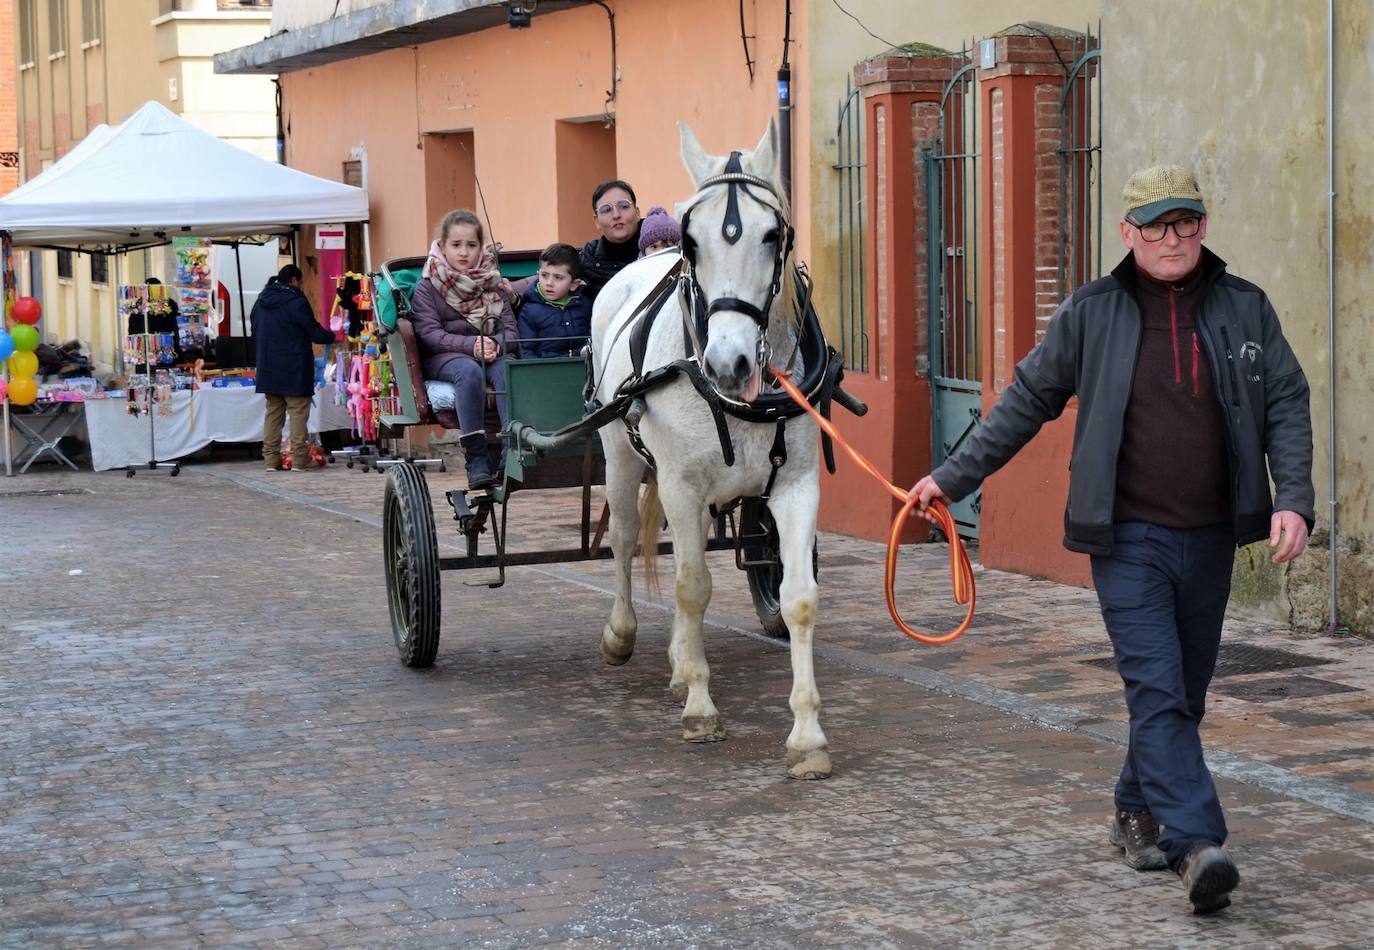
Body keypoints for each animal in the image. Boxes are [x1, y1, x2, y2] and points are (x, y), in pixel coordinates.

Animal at [588, 120, 824, 780]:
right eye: (692, 244)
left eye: (773, 235)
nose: (728, 362)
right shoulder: (680, 483)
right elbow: (692, 588)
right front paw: (700, 706)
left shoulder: (797, 485)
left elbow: (798, 600)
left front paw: (807, 736)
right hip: (621, 455)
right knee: (624, 540)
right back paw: (623, 635)